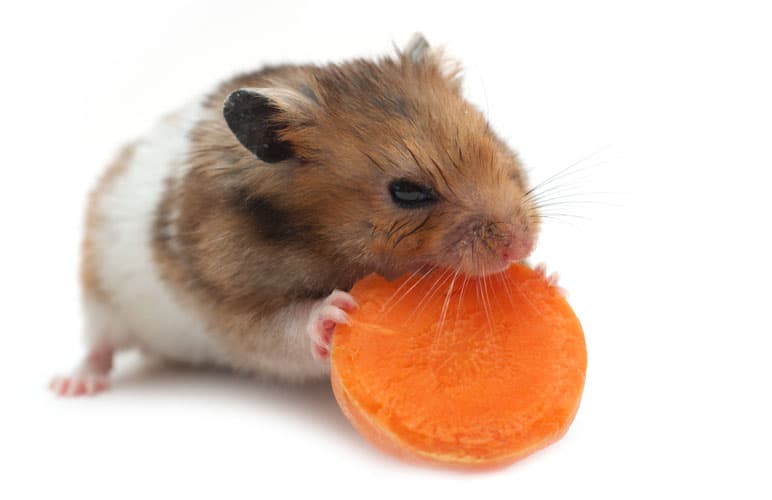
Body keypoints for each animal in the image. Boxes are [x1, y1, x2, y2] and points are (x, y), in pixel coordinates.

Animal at [51, 33, 544, 396]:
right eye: (407, 192)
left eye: (491, 139)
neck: (317, 240)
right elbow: (281, 332)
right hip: (100, 294)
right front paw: (336, 313)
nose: (522, 244)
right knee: (99, 345)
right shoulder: (228, 303)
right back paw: (73, 385)